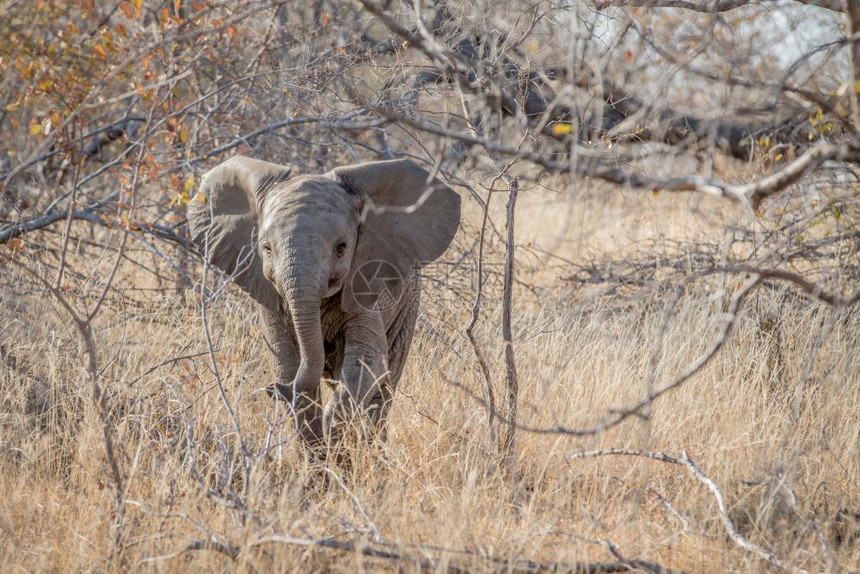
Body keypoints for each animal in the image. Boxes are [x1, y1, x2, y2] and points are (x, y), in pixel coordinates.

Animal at [186, 156, 460, 450]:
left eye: (341, 248)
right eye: (267, 249)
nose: (272, 390)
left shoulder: (366, 282)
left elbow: (366, 363)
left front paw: (333, 437)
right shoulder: (269, 298)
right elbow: (287, 362)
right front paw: (319, 451)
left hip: (406, 305)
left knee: (383, 387)